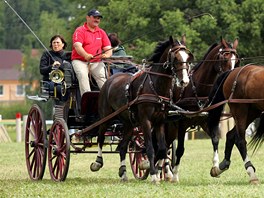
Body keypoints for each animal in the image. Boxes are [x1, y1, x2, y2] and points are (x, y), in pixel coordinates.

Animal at [89, 35, 193, 183]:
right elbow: (149, 148)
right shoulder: (145, 121)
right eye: (175, 58)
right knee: (100, 138)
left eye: (188, 57)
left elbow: (162, 148)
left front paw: (154, 169)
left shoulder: (160, 121)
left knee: (122, 147)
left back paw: (123, 173)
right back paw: (97, 162)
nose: (184, 81)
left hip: (128, 123)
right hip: (105, 117)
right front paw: (154, 175)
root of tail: (110, 80)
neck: (155, 86)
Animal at [163, 38, 239, 182]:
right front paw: (175, 174)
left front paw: (215, 167)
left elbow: (215, 140)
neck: (197, 89)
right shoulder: (182, 123)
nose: (231, 78)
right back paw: (163, 170)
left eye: (236, 60)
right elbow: (180, 149)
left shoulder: (207, 121)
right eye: (224, 58)